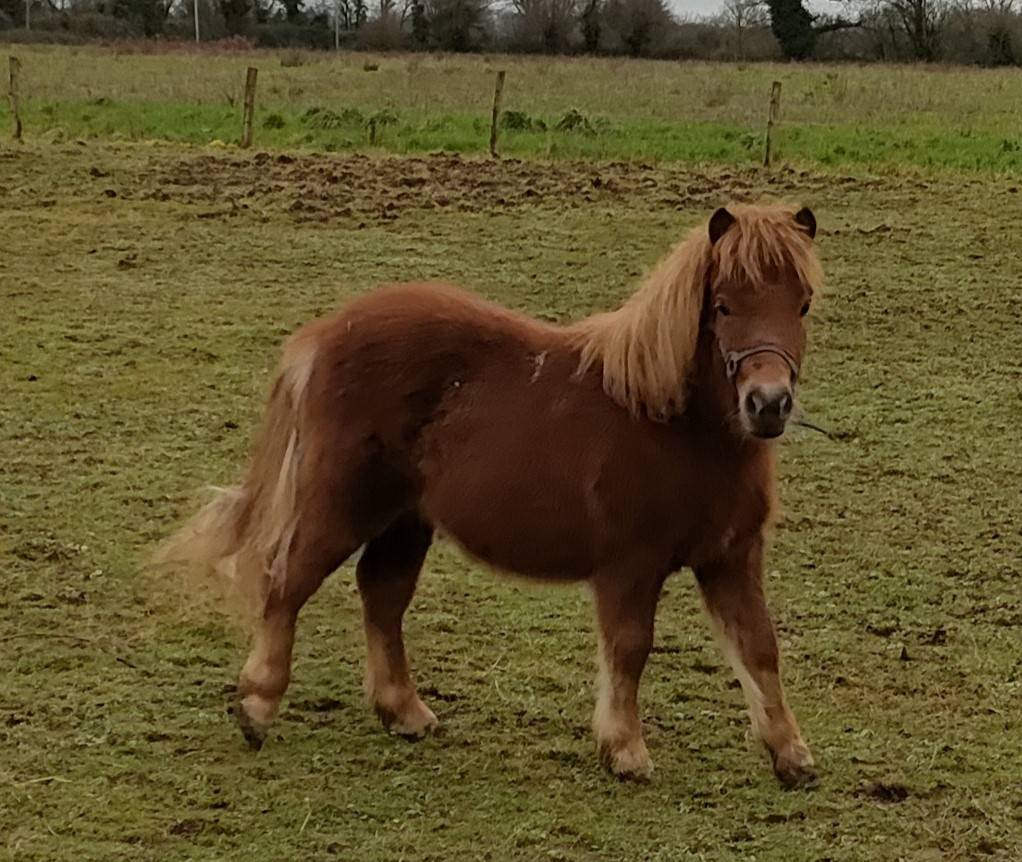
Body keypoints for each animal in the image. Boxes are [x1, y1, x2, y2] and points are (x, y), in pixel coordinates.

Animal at [158, 202, 823, 788]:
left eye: (803, 304)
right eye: (723, 305)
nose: (768, 404)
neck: (670, 421)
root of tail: (324, 334)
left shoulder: (731, 557)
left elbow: (759, 646)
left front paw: (791, 756)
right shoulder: (630, 565)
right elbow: (631, 647)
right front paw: (625, 751)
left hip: (406, 519)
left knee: (382, 594)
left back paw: (405, 713)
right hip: (342, 503)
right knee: (288, 580)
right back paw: (256, 706)